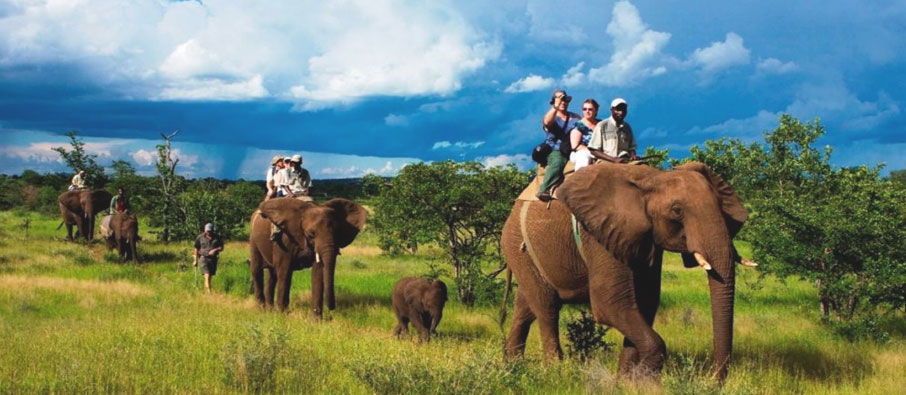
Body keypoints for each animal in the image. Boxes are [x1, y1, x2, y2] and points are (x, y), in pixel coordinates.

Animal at [498, 162, 744, 382]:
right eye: (677, 211)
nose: (712, 381)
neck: (653, 178)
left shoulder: (644, 238)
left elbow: (645, 302)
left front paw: (626, 381)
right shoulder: (599, 233)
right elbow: (611, 304)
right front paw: (645, 381)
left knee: (525, 308)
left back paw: (514, 365)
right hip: (517, 246)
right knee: (546, 308)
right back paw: (554, 371)